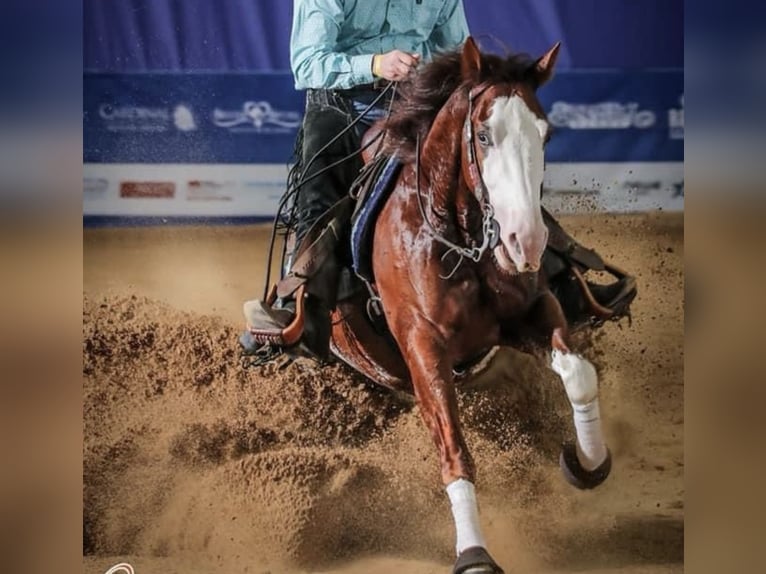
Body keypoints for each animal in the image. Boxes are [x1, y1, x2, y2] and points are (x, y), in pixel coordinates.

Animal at [316, 37, 612, 574]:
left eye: (546, 134)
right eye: (484, 134)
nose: (525, 241)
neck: (458, 240)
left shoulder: (532, 312)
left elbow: (580, 373)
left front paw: (588, 462)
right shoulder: (421, 345)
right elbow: (453, 445)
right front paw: (474, 552)